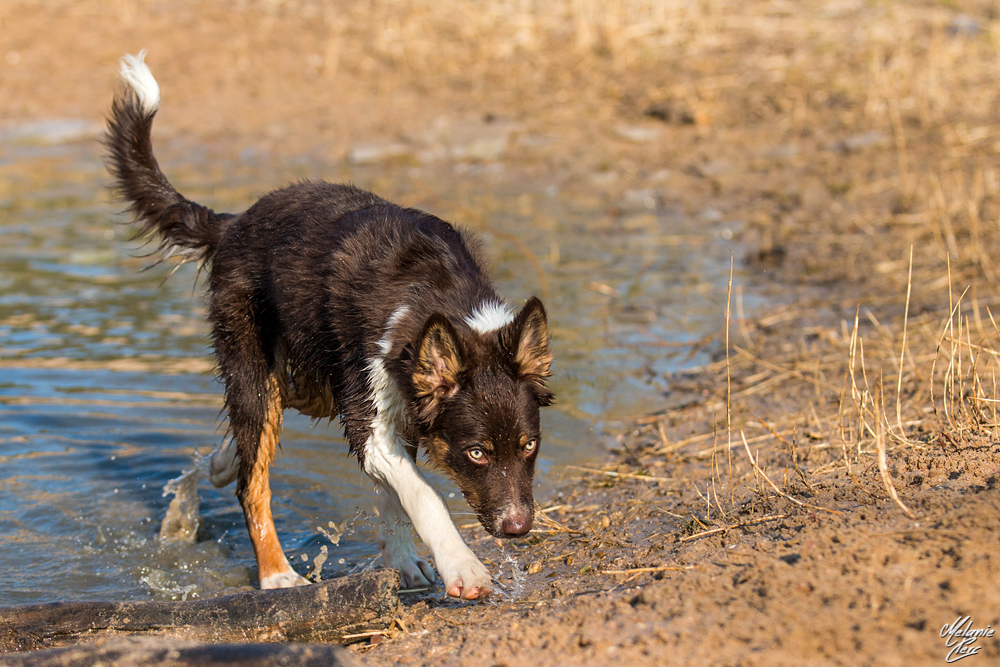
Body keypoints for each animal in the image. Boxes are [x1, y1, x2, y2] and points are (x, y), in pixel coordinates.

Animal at [104, 52, 553, 599]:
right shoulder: (370, 421)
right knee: (252, 481)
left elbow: (397, 498)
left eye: (529, 445)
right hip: (261, 367)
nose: (519, 528)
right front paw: (462, 568)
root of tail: (233, 224)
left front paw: (404, 563)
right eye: (477, 453)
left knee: (259, 431)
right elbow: (423, 496)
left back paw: (220, 462)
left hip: (312, 378)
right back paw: (275, 573)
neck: (435, 298)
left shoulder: (391, 416)